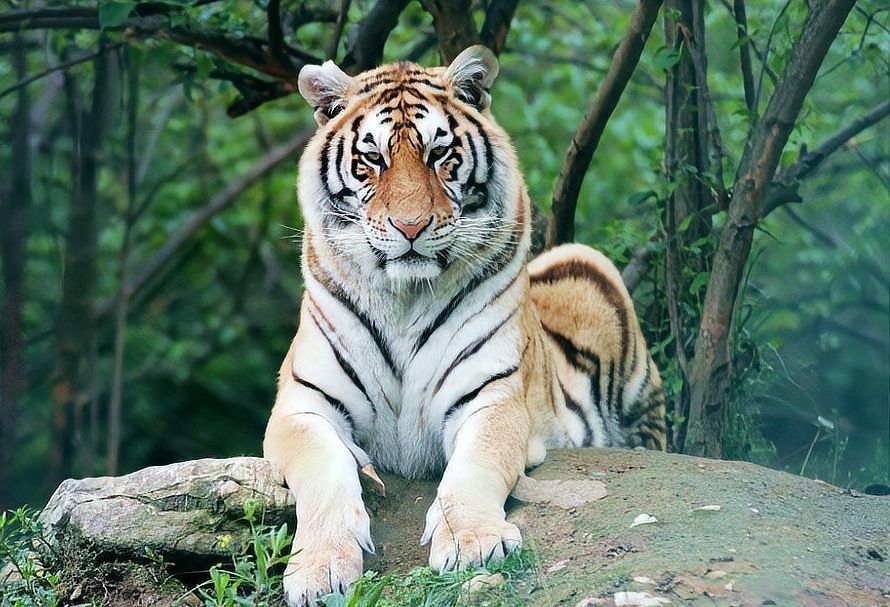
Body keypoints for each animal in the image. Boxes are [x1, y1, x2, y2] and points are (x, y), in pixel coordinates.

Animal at [263, 46, 666, 606]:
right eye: (373, 160)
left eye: (439, 154)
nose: (411, 226)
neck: (405, 297)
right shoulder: (303, 406)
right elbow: (324, 474)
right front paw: (320, 568)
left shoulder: (490, 398)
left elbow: (475, 468)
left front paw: (473, 542)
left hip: (593, 277)